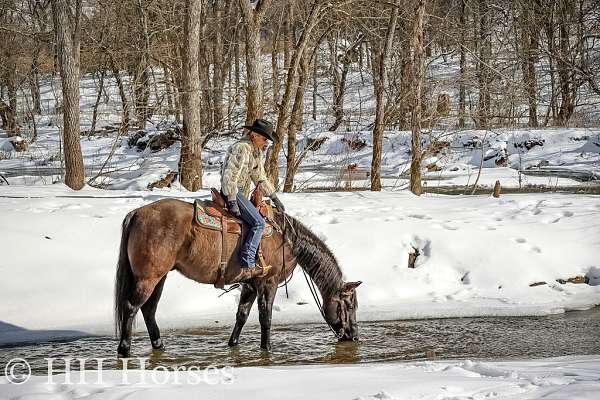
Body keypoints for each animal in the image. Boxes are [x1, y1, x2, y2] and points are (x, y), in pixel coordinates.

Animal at [115, 198, 364, 358]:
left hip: (160, 277)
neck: (287, 239)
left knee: (149, 310)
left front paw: (233, 345)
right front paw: (267, 349)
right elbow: (266, 318)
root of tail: (137, 213)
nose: (353, 336)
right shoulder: (269, 282)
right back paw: (124, 349)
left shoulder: (250, 284)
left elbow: (241, 316)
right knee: (131, 307)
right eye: (350, 305)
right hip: (148, 277)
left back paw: (159, 346)